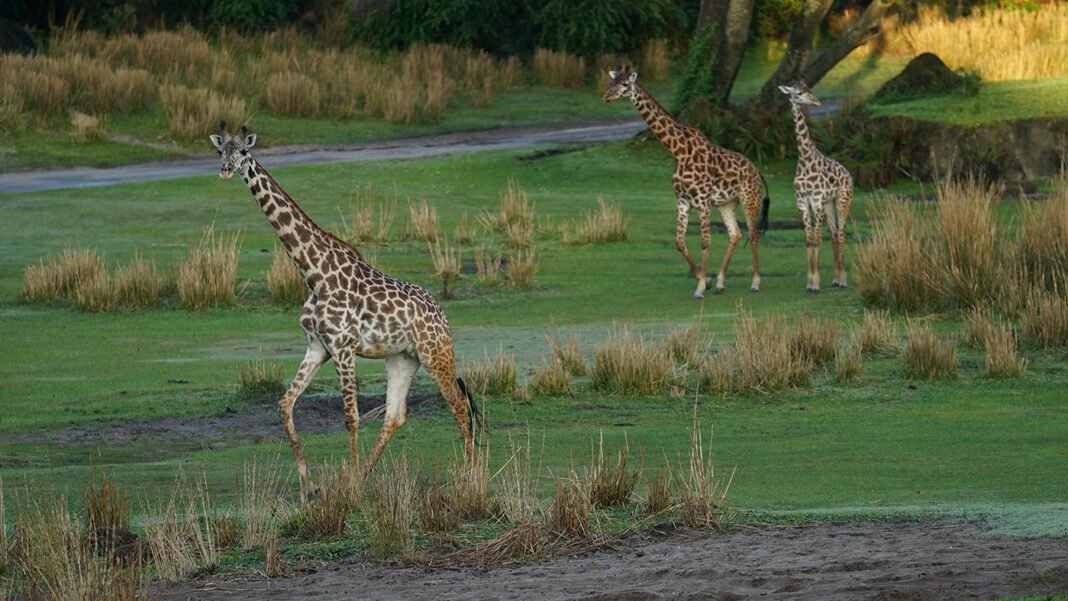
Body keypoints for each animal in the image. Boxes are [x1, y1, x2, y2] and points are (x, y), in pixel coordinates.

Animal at [210, 122, 478, 499]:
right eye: (221, 150)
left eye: (244, 151)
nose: (225, 170)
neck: (313, 275)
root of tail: (442, 314)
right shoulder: (317, 346)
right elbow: (285, 404)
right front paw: (311, 487)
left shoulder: (343, 346)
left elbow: (350, 416)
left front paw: (347, 488)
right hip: (402, 358)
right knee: (396, 415)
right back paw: (366, 478)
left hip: (435, 353)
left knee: (459, 402)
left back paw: (472, 479)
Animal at [602, 66, 768, 301]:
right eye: (611, 82)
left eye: (625, 84)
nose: (606, 96)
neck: (678, 151)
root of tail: (758, 171)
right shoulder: (682, 201)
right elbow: (679, 242)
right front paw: (706, 281)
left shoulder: (703, 201)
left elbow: (705, 242)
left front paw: (699, 289)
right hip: (727, 203)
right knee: (735, 234)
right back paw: (720, 283)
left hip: (749, 199)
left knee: (753, 233)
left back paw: (755, 283)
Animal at [777, 82, 850, 294]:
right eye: (799, 92)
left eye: (810, 89)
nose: (817, 102)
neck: (805, 160)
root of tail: (849, 174)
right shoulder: (802, 201)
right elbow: (809, 240)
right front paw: (809, 283)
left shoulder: (816, 200)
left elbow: (816, 239)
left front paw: (816, 283)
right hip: (829, 204)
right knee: (834, 234)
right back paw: (835, 279)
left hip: (843, 199)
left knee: (842, 233)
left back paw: (843, 280)